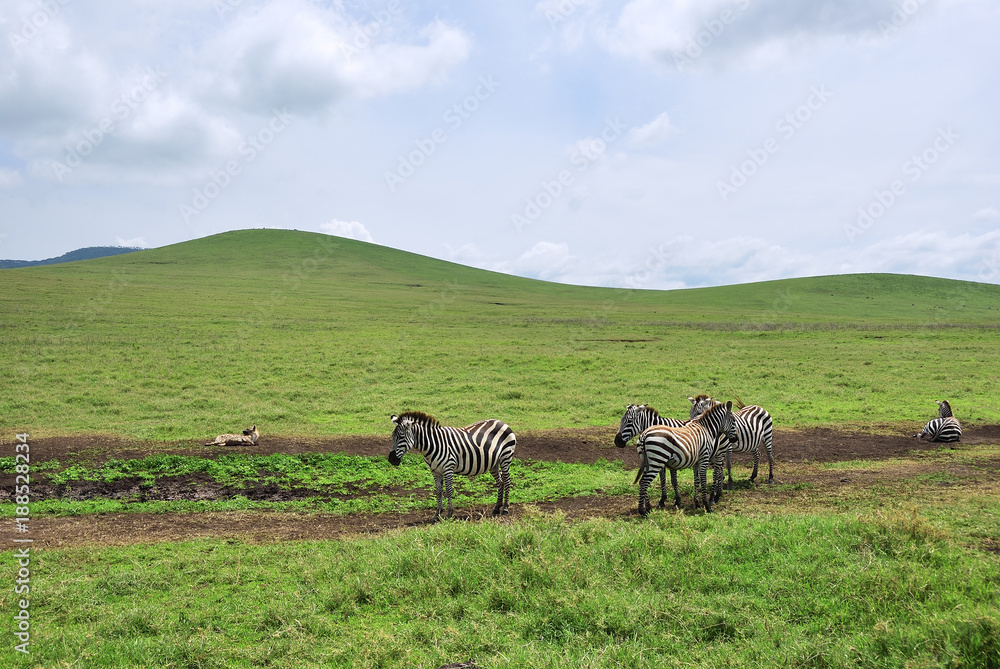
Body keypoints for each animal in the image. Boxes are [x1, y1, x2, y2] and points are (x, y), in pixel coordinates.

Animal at [388, 412, 517, 522]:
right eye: (393, 436)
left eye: (402, 437)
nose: (391, 460)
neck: (433, 444)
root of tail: (501, 422)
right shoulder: (435, 471)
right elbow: (438, 492)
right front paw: (437, 515)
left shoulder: (448, 469)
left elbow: (449, 491)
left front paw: (450, 514)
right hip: (493, 463)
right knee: (500, 482)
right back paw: (496, 508)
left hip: (505, 457)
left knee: (507, 481)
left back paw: (505, 509)